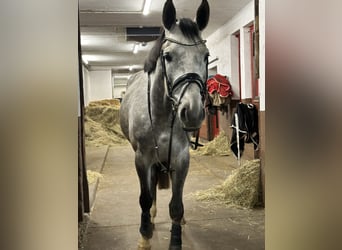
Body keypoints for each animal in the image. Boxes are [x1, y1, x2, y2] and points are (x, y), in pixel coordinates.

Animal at [120, 0, 211, 249]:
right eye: (168, 56)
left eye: (206, 56)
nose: (193, 112)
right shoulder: (142, 158)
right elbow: (145, 197)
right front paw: (145, 236)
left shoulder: (181, 158)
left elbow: (176, 206)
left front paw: (175, 240)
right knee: (151, 187)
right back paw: (150, 219)